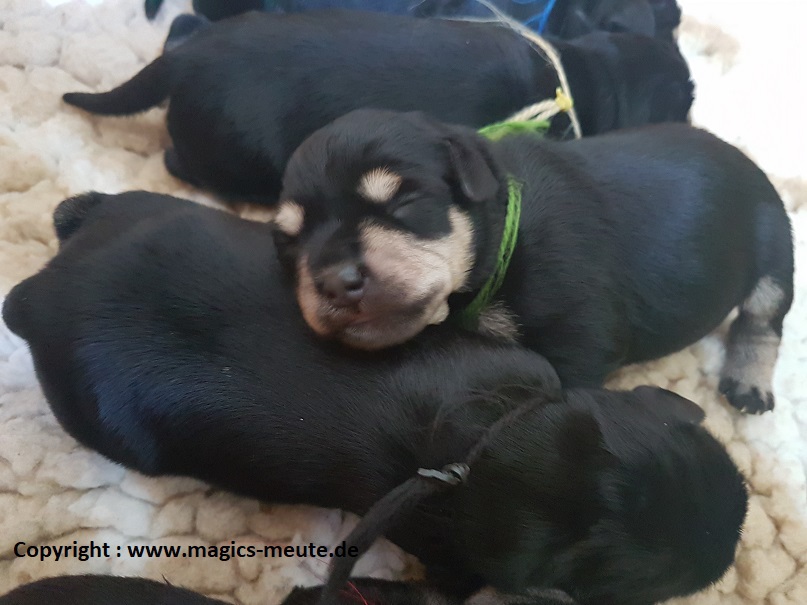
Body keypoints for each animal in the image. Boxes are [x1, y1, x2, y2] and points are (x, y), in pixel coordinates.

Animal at [63, 10, 693, 204]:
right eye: (687, 100)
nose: (693, 124)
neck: (580, 76)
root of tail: (186, 60)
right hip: (237, 152)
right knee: (181, 162)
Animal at [274, 111, 794, 414]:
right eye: (290, 241)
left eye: (404, 202)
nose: (334, 283)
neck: (506, 234)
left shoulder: (578, 342)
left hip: (774, 246)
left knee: (762, 322)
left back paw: (748, 383)